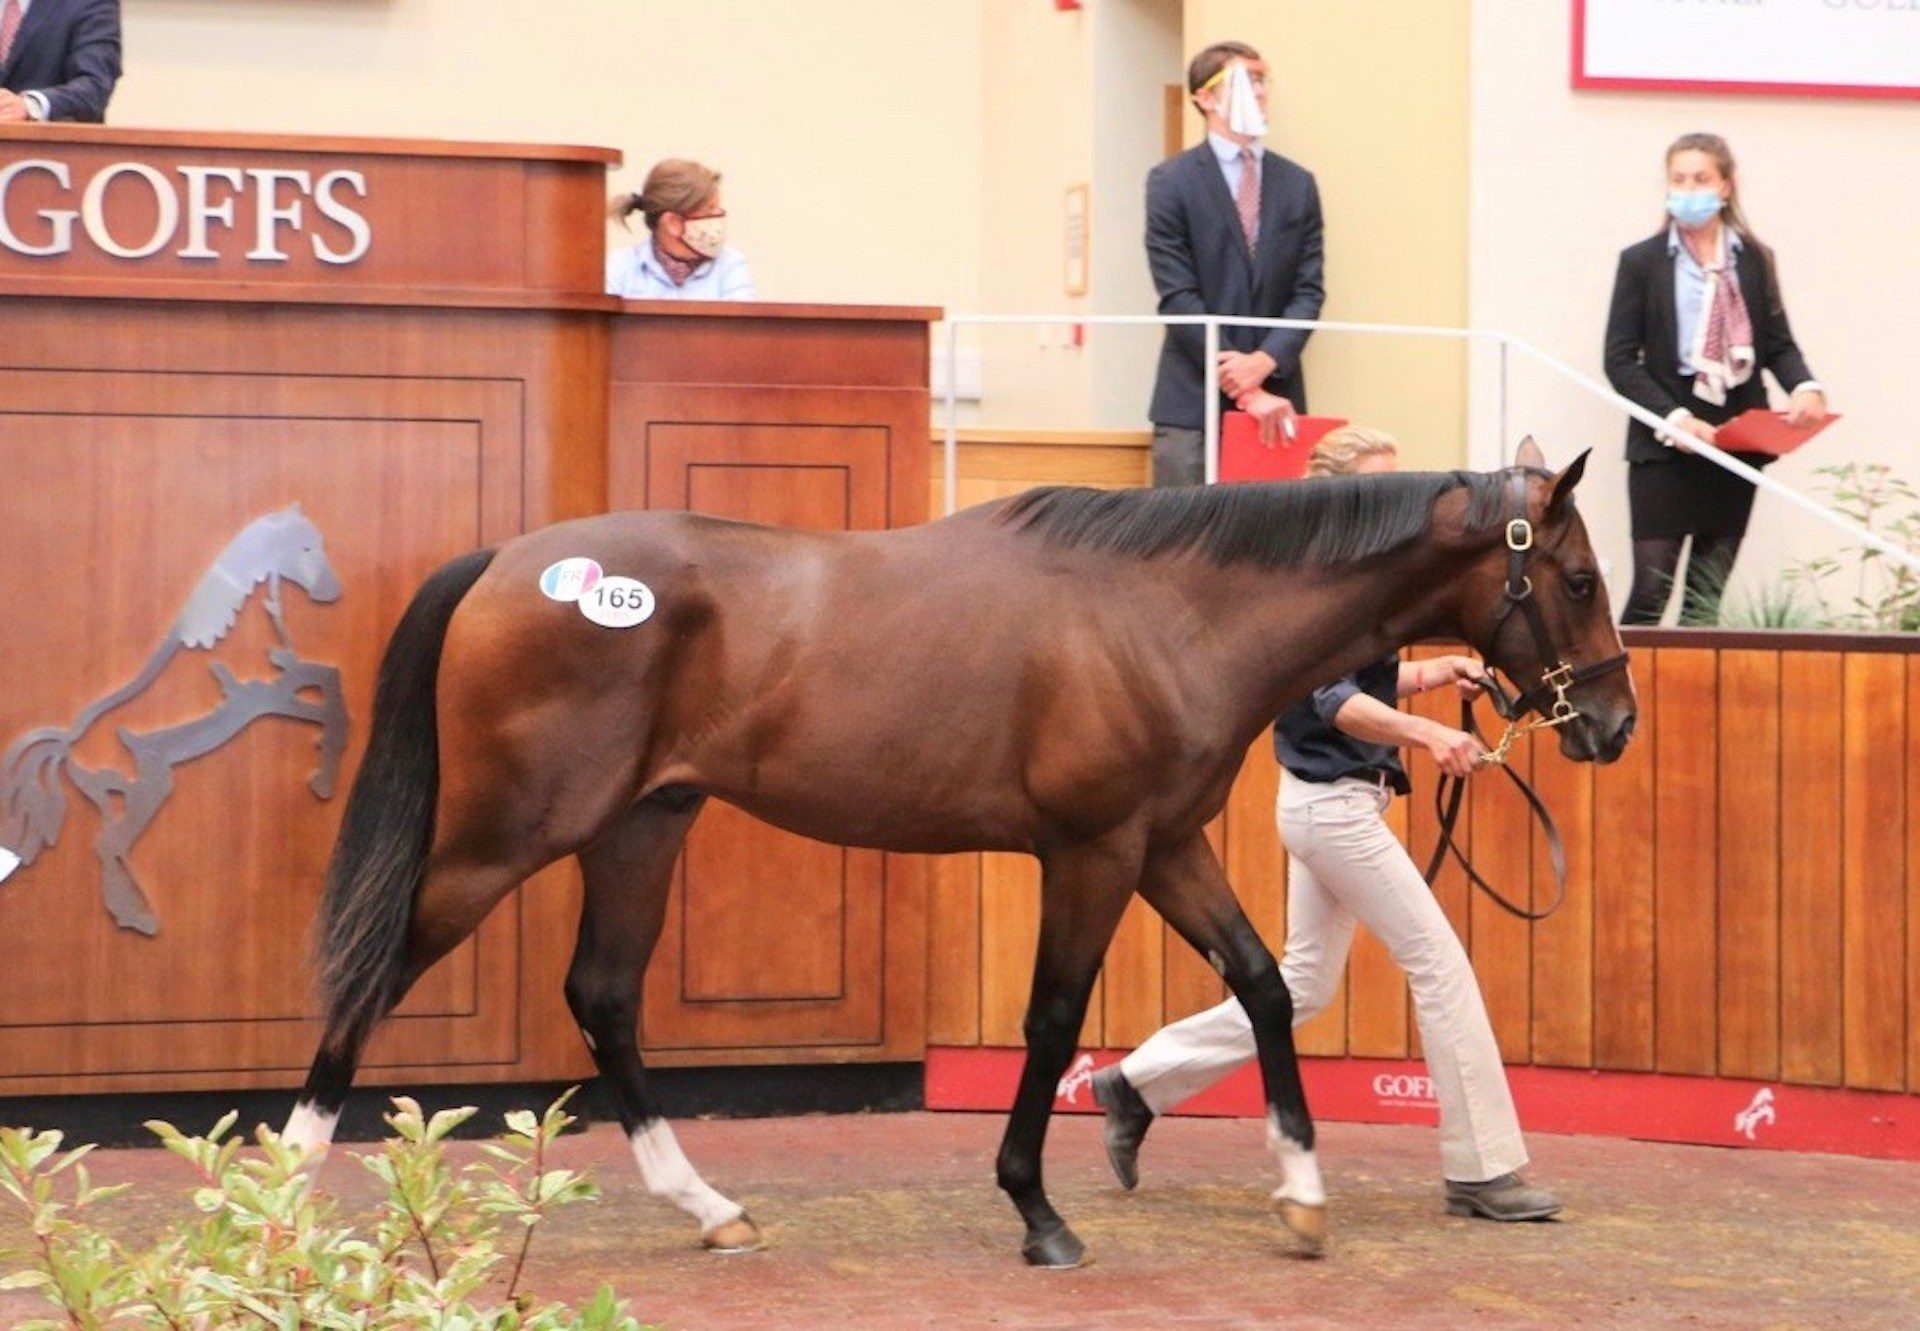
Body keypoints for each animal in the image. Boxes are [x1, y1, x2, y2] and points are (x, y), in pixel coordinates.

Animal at [284, 441, 1635, 1259]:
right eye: (1575, 575)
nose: (1612, 724)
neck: (1166, 612)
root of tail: (507, 563)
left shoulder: (1165, 843)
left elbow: (1257, 983)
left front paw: (1300, 1196)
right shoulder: (1090, 851)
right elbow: (1052, 1018)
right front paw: (1038, 1209)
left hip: (639, 828)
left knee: (604, 997)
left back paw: (709, 1206)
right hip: (505, 835)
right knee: (373, 972)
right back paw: (279, 1195)